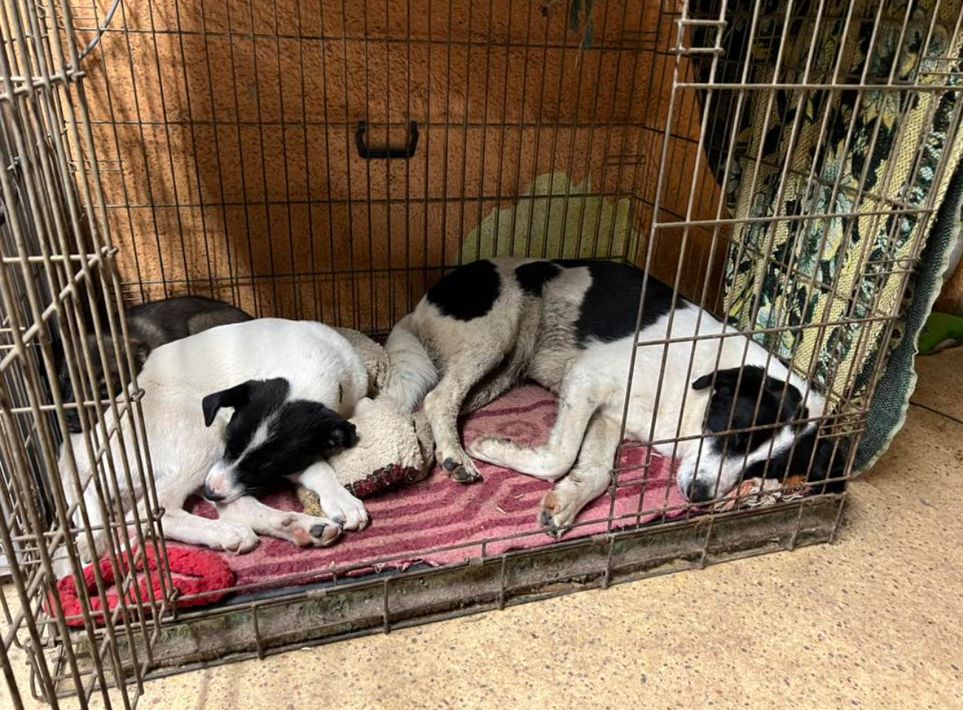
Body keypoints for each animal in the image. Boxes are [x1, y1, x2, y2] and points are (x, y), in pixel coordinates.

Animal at [56, 318, 370, 573]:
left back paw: (301, 527)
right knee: (154, 511)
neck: (314, 362)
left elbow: (315, 466)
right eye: (230, 442)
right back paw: (228, 532)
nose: (210, 492)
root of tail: (79, 453)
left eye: (267, 464)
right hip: (203, 436)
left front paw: (339, 499)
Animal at [383, 259, 847, 536]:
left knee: (428, 407)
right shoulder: (587, 378)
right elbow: (560, 456)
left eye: (761, 468)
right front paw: (493, 447)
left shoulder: (608, 415)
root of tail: (419, 304)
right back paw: (456, 457)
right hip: (495, 334)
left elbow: (597, 473)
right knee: (439, 398)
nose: (699, 495)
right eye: (733, 432)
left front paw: (565, 503)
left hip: (502, 370)